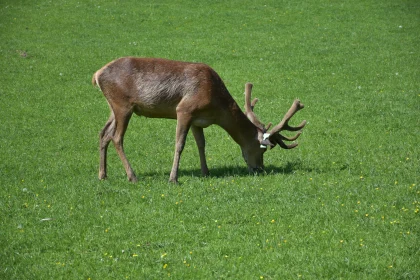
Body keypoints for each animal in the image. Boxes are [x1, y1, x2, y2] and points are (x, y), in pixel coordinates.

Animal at [92, 57, 306, 184]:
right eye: (263, 149)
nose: (260, 169)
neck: (216, 107)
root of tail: (97, 74)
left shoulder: (198, 120)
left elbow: (201, 144)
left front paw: (206, 172)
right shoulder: (184, 109)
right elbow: (179, 144)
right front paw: (173, 178)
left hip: (114, 108)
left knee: (104, 133)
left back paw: (103, 175)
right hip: (123, 106)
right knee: (117, 137)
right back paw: (132, 176)